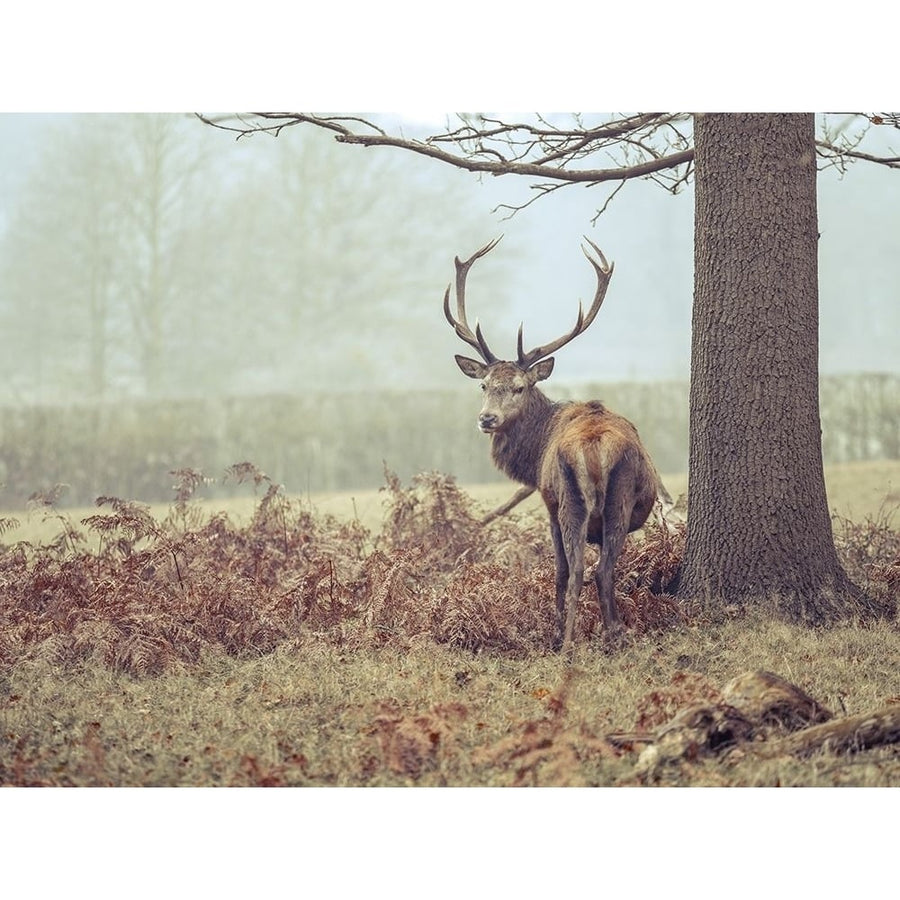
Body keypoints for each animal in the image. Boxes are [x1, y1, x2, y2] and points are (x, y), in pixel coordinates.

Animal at [442, 236, 668, 652]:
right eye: (484, 385)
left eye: (519, 387)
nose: (487, 419)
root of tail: (593, 449)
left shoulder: (548, 501)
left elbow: (563, 568)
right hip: (601, 501)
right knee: (596, 570)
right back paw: (600, 636)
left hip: (574, 500)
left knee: (582, 569)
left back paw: (574, 639)